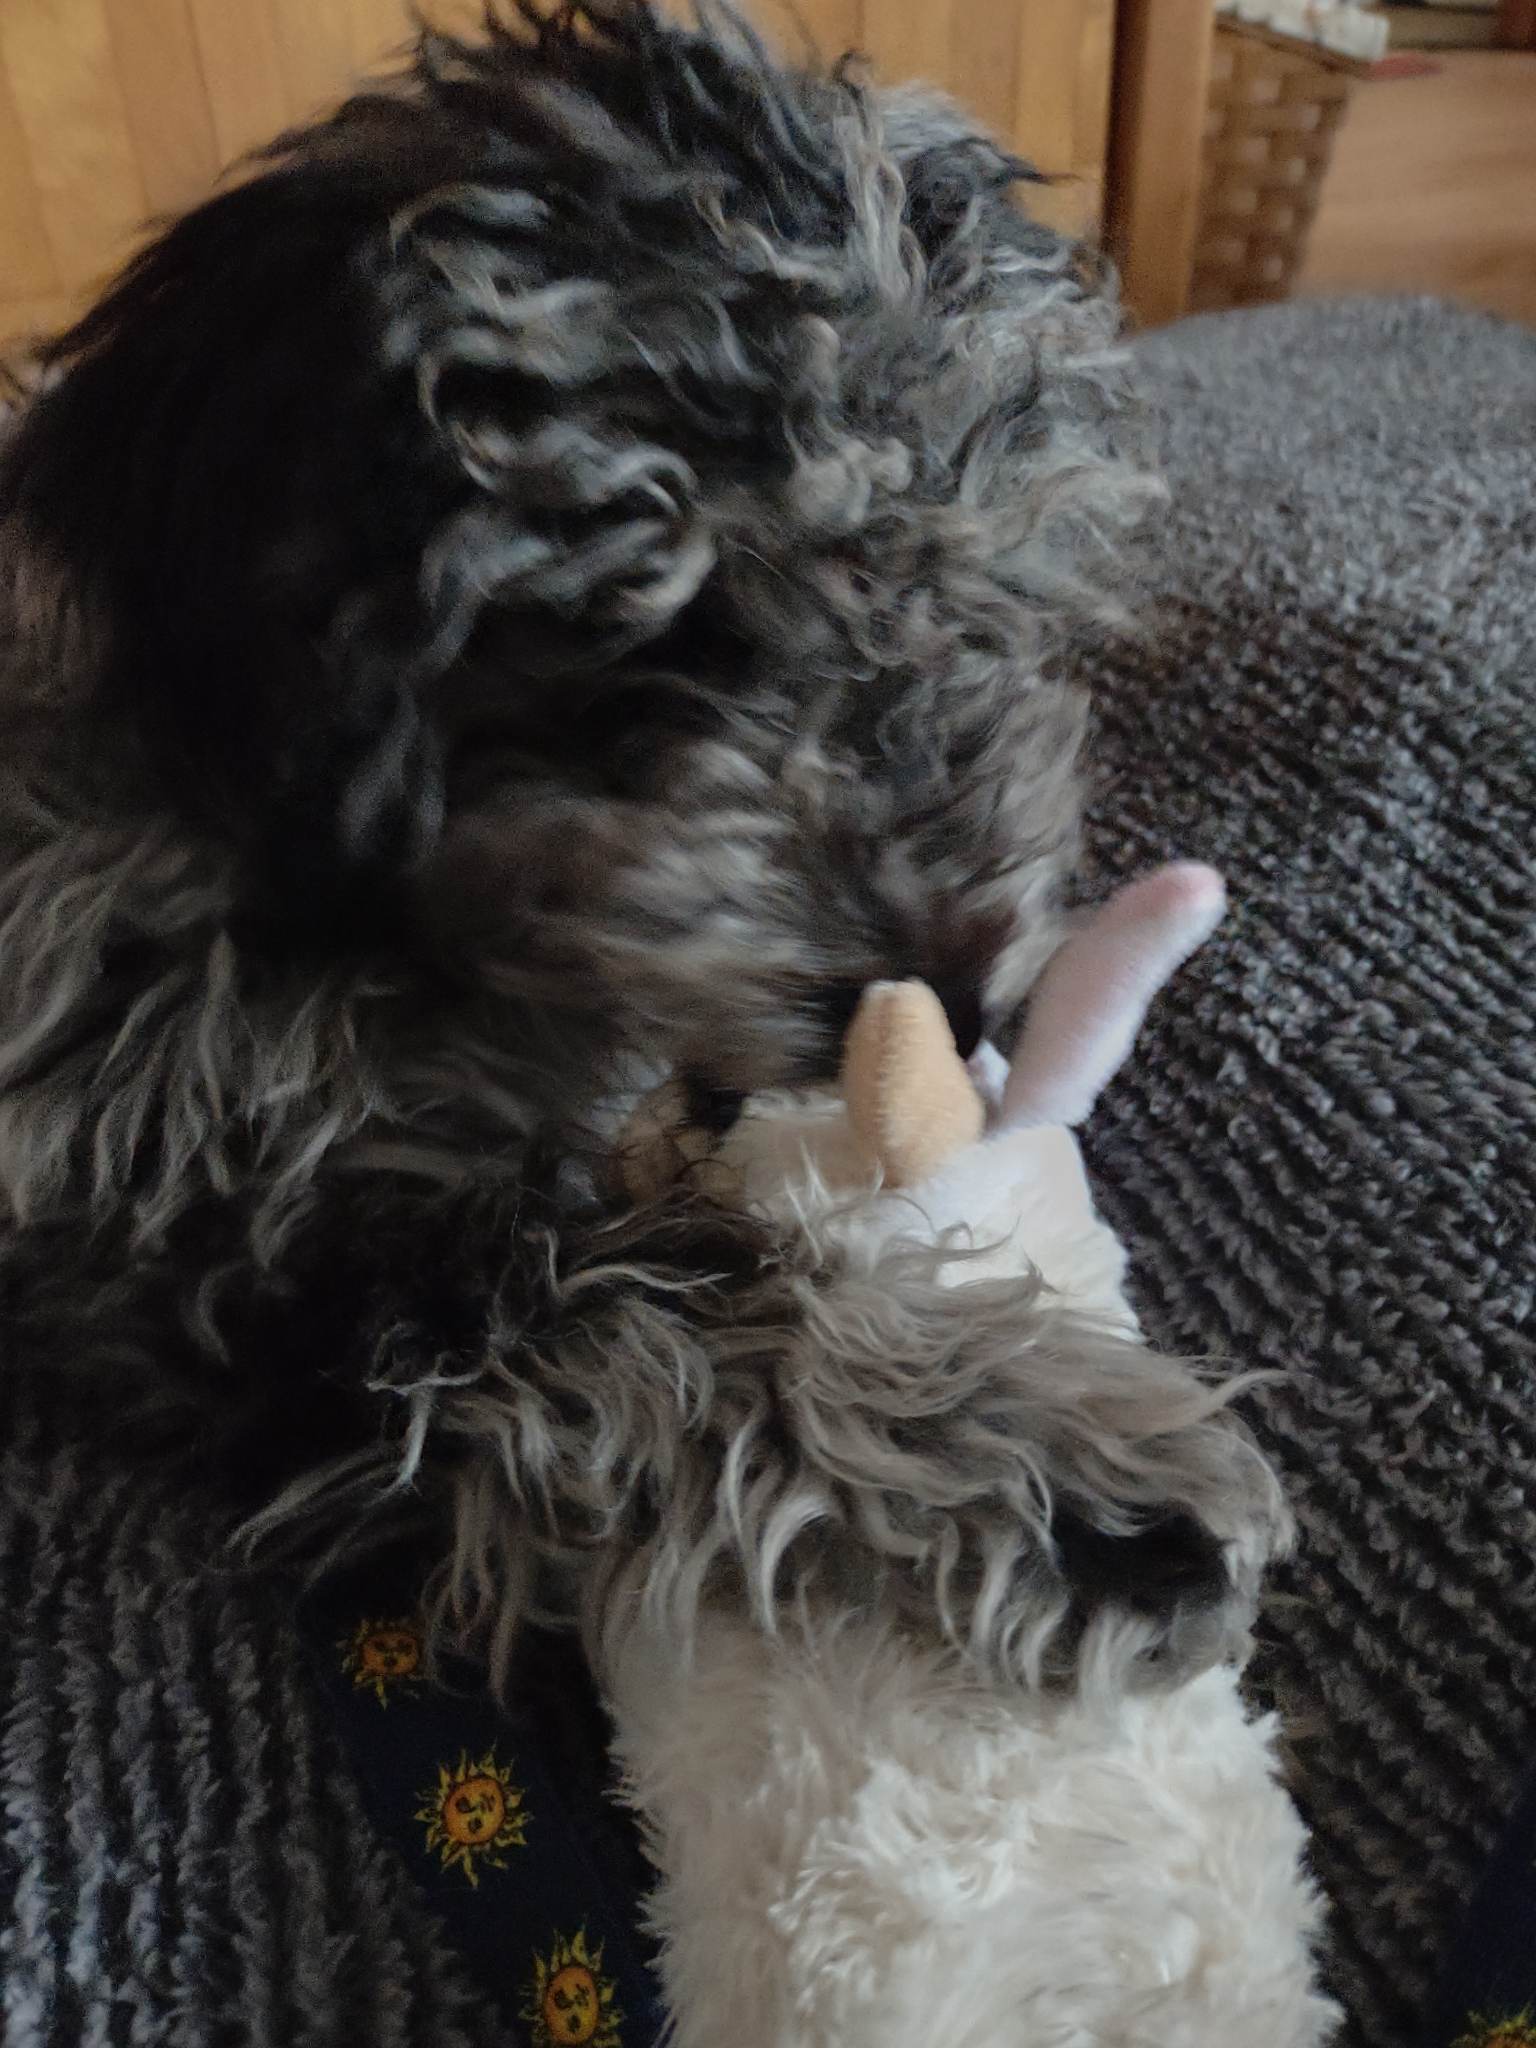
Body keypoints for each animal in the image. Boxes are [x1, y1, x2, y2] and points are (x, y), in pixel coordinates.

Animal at [0, 0, 1277, 1728]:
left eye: (990, 594)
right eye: (681, 629)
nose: (951, 998)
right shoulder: (228, 1247)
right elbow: (655, 1304)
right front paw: (1049, 1468)